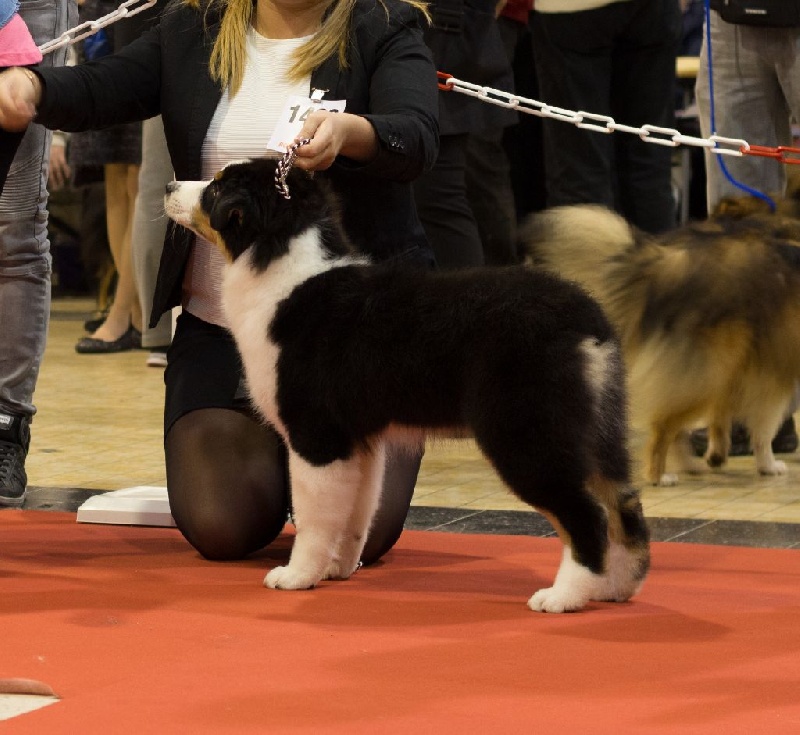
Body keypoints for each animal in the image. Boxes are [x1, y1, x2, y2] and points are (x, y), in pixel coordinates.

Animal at [164, 157, 649, 613]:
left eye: (216, 187)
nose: (169, 185)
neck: (280, 264)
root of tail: (586, 317)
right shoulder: (360, 440)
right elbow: (356, 512)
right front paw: (338, 568)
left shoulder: (315, 434)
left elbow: (314, 515)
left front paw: (297, 575)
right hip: (595, 427)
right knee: (622, 504)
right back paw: (615, 587)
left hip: (526, 431)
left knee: (586, 514)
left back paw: (564, 595)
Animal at [524, 194, 800, 487]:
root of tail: (668, 264)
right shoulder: (772, 368)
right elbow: (763, 426)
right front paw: (768, 465)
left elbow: (730, 417)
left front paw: (722, 454)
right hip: (710, 368)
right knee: (664, 425)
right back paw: (659, 476)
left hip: (713, 369)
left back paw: (692, 464)